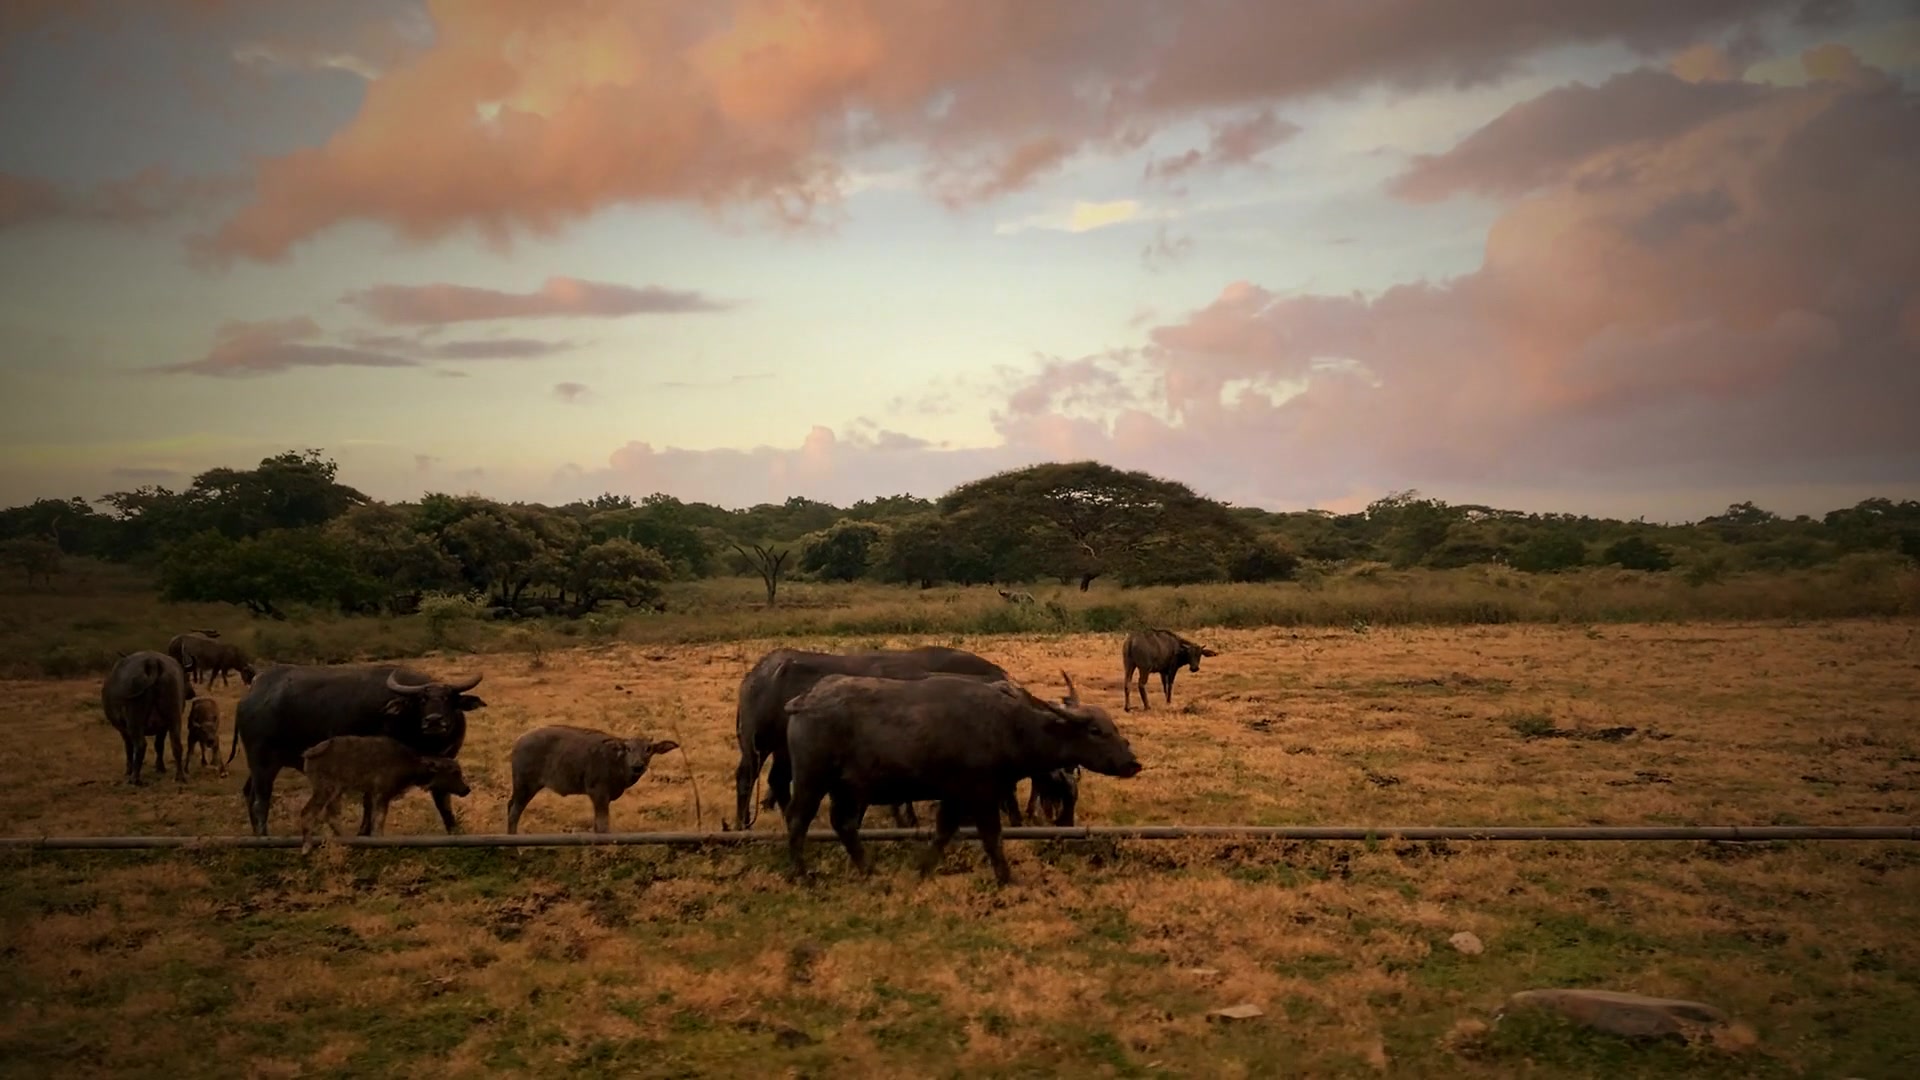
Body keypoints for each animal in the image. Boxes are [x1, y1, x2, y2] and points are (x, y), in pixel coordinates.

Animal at [101, 650, 194, 785]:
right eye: (187, 677)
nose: (192, 693)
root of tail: (152, 662)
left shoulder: (123, 729)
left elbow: (128, 747)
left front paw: (128, 770)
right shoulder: (163, 728)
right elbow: (159, 745)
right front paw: (160, 768)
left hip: (134, 721)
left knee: (140, 745)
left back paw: (134, 778)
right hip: (174, 717)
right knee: (176, 745)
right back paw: (180, 776)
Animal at [231, 664, 484, 836]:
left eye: (448, 698)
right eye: (421, 700)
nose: (434, 721)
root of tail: (251, 694)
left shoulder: (446, 764)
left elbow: (443, 802)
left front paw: (455, 831)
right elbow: (370, 802)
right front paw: (365, 834)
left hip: (262, 765)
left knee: (249, 793)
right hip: (262, 761)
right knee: (261, 801)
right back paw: (264, 838)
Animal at [731, 645, 1010, 830]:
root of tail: (755, 676)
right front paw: (907, 820)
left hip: (783, 750)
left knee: (777, 780)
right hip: (757, 744)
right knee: (746, 777)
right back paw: (742, 824)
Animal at [780, 670, 1141, 884]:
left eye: (1113, 727)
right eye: (1095, 731)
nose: (1132, 763)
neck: (1007, 726)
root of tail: (806, 700)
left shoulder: (954, 796)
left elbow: (943, 833)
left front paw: (924, 870)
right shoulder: (980, 793)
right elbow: (992, 837)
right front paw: (1006, 878)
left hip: (848, 788)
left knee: (843, 824)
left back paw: (868, 870)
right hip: (813, 780)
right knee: (798, 821)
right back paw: (801, 875)